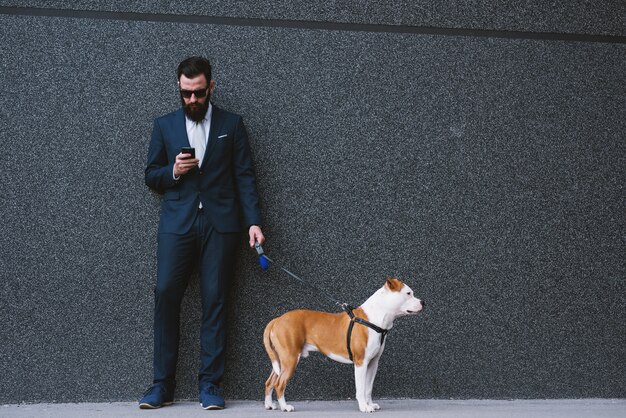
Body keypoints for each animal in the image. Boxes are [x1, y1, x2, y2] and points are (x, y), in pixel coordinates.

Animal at [260, 278, 422, 412]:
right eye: (408, 293)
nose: (423, 302)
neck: (374, 318)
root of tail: (277, 319)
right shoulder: (361, 363)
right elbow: (361, 389)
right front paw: (364, 407)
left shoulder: (373, 363)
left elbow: (368, 388)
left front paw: (370, 404)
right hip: (291, 358)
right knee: (279, 384)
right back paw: (285, 407)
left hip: (281, 360)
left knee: (269, 382)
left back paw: (269, 405)